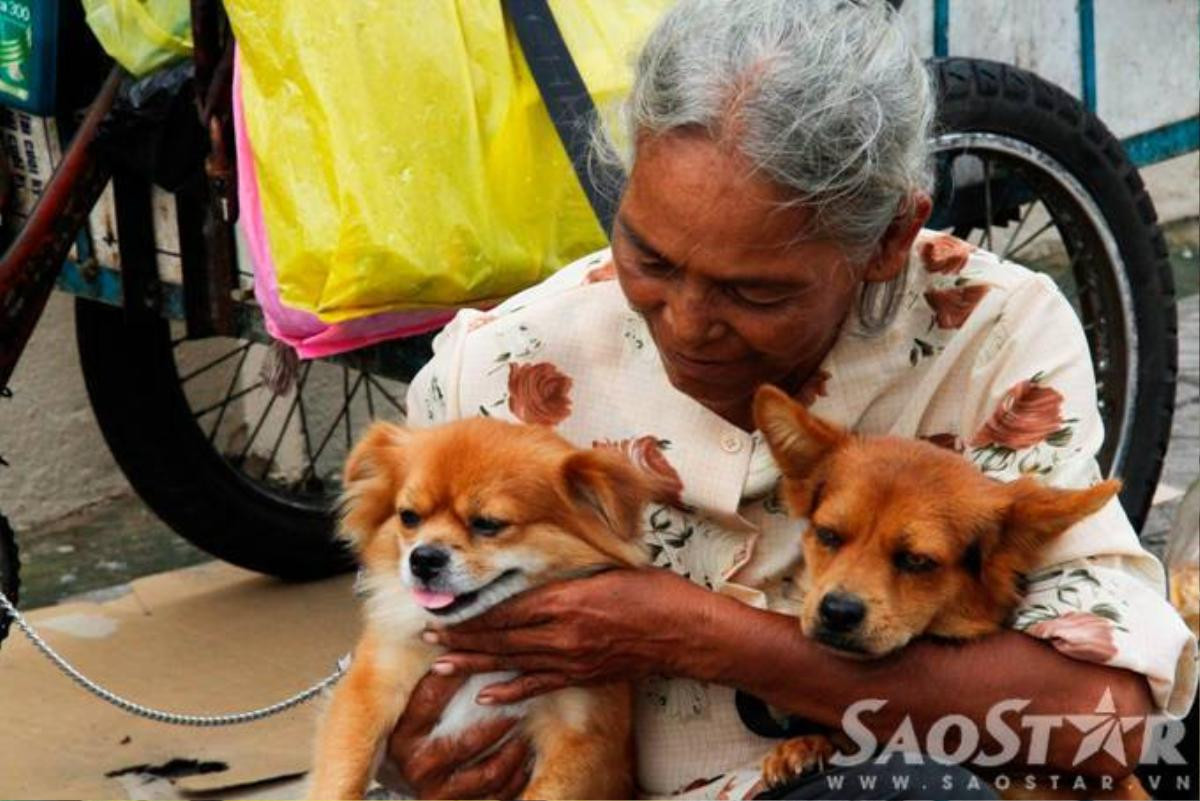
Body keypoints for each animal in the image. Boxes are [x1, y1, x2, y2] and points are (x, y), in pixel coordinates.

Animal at [304, 419, 652, 801]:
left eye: (487, 524)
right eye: (408, 517)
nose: (423, 558)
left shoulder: (583, 738)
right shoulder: (368, 693)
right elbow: (343, 774)